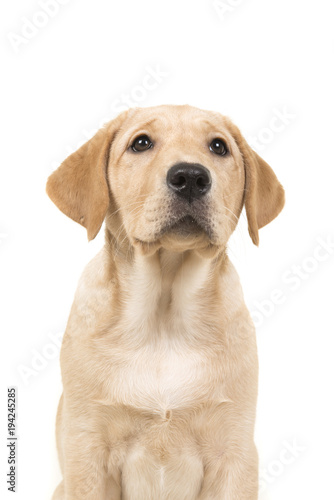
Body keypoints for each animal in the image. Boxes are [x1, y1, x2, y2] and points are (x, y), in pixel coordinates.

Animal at [47, 103, 284, 498]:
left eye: (218, 147)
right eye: (141, 143)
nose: (190, 177)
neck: (163, 318)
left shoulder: (233, 452)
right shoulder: (87, 450)